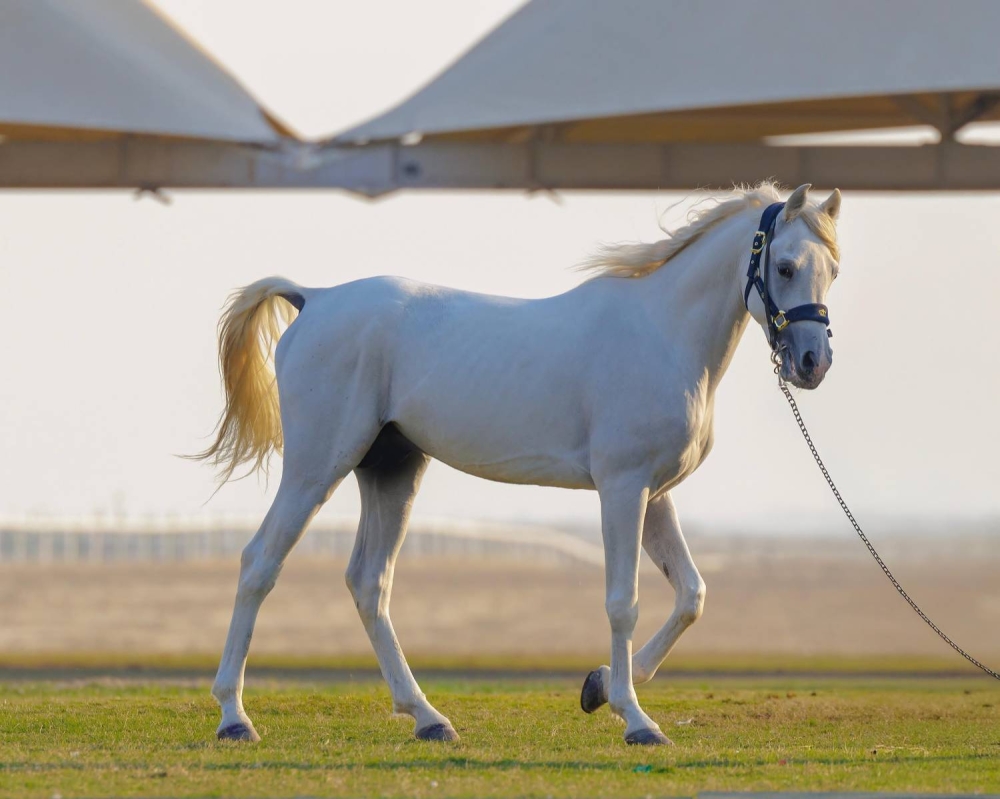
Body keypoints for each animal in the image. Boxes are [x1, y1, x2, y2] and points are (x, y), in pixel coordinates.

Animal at [195, 181, 836, 744]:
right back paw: (234, 717)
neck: (663, 334)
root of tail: (317, 297)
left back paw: (428, 717)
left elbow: (690, 596)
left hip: (393, 470)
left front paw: (599, 686)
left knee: (369, 583)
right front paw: (636, 720)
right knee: (260, 564)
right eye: (784, 267)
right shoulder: (622, 488)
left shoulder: (654, 495)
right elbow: (623, 602)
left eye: (831, 269)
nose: (812, 363)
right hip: (316, 468)